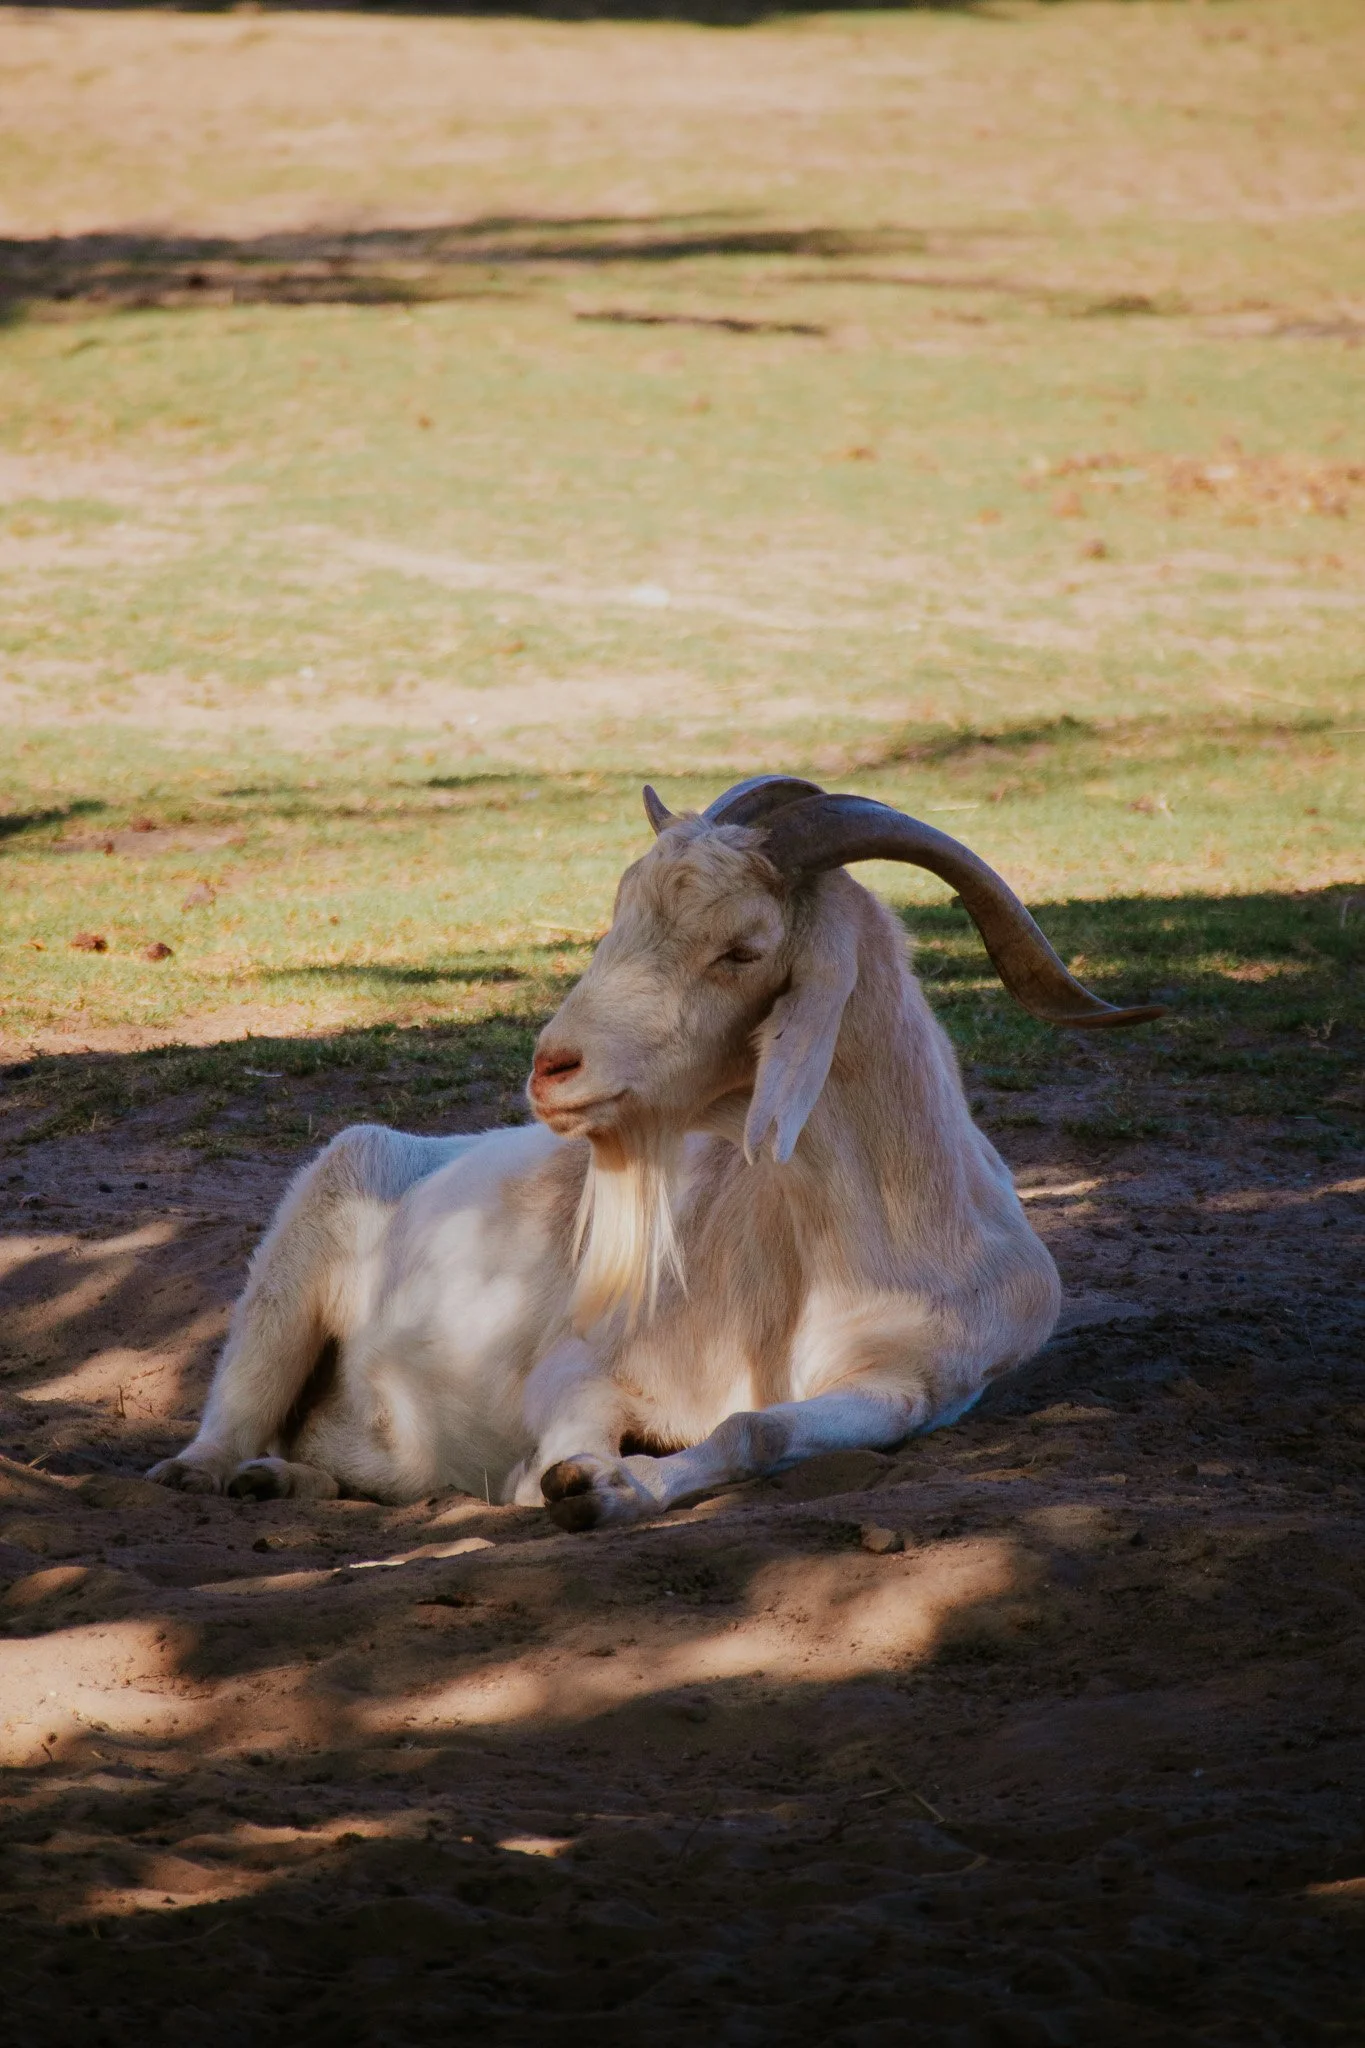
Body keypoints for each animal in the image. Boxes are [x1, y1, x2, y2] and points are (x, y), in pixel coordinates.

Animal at [147, 776, 1161, 1528]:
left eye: (742, 949)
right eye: (620, 913)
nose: (553, 1068)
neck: (876, 1247)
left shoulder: (913, 1383)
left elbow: (756, 1431)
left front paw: (612, 1488)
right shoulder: (580, 1367)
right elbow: (564, 1440)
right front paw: (568, 1481)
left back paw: (282, 1481)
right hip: (315, 1224)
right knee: (228, 1423)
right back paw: (216, 1473)